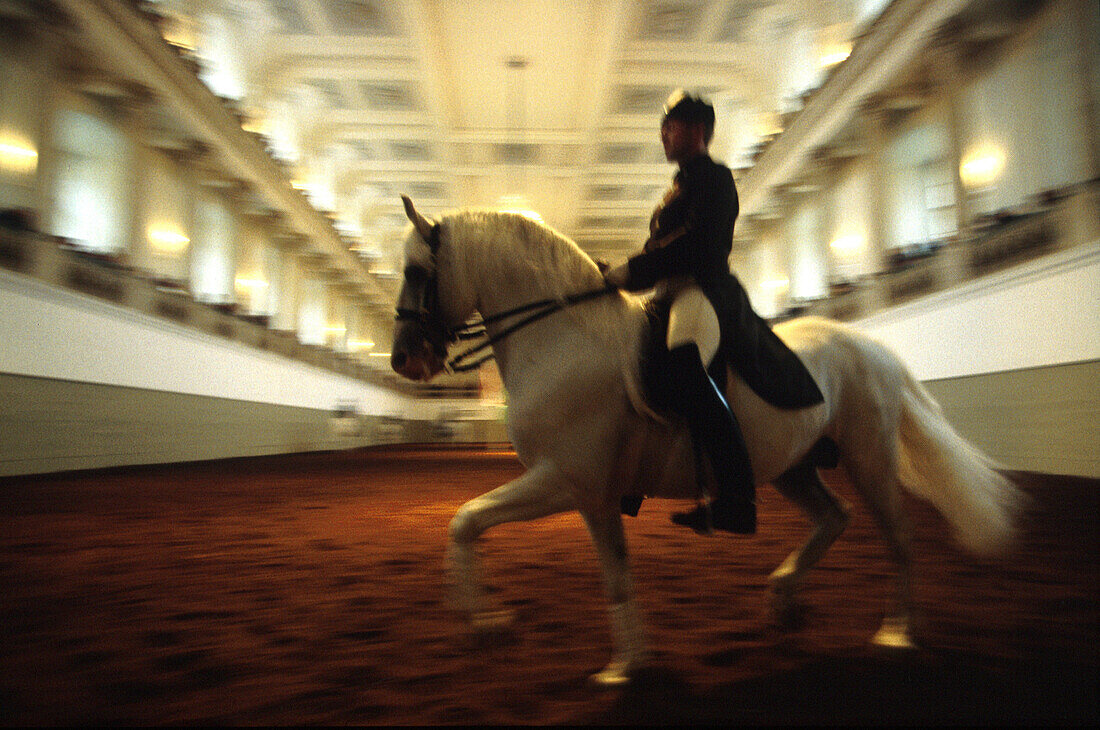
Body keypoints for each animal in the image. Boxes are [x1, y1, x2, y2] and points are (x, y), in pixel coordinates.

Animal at [391, 196, 1025, 686]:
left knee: (898, 537)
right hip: (791, 466)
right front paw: (607, 655)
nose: (404, 361)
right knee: (835, 516)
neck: (561, 340)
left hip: (869, 458)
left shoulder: (572, 481)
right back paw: (783, 597)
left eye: (417, 272)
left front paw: (514, 633)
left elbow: (481, 525)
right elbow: (549, 549)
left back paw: (895, 634)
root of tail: (874, 349)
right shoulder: (586, 491)